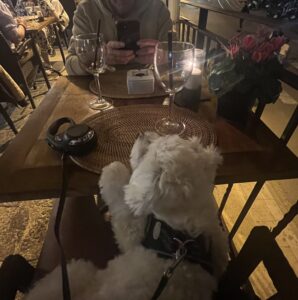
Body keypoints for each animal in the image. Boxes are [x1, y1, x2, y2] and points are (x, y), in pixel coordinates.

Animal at [26, 132, 229, 298]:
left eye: (149, 151)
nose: (141, 133)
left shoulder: (131, 235)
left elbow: (121, 207)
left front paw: (113, 169)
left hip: (75, 272)